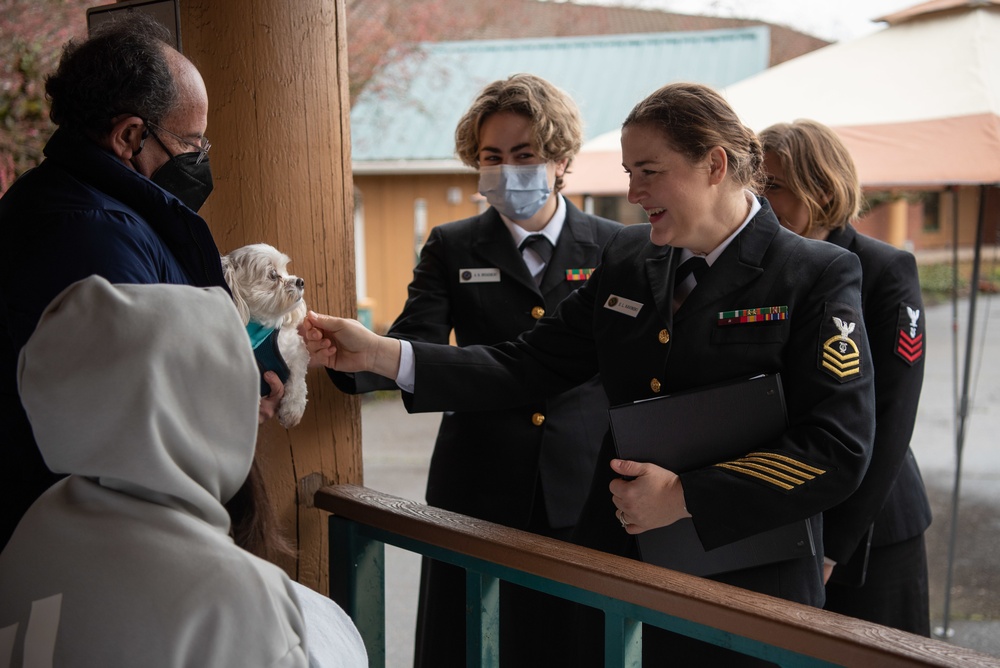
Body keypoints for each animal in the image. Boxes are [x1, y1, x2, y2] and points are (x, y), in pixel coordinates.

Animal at [222, 244, 308, 428]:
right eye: (273, 274)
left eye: (285, 269)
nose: (301, 281)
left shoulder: (297, 350)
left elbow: (297, 377)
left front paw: (292, 410)